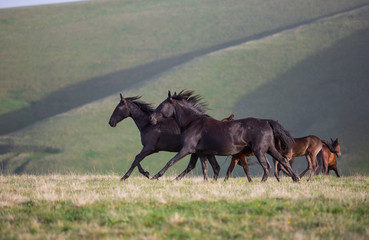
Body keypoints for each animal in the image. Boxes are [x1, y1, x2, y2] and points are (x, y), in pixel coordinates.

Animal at [149, 90, 300, 182]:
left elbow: (171, 162)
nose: (151, 118)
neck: (192, 123)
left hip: (260, 151)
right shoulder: (202, 153)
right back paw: (296, 179)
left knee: (267, 167)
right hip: (270, 149)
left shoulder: (187, 149)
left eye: (162, 105)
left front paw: (154, 177)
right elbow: (206, 169)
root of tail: (267, 122)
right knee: (283, 160)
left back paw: (262, 183)